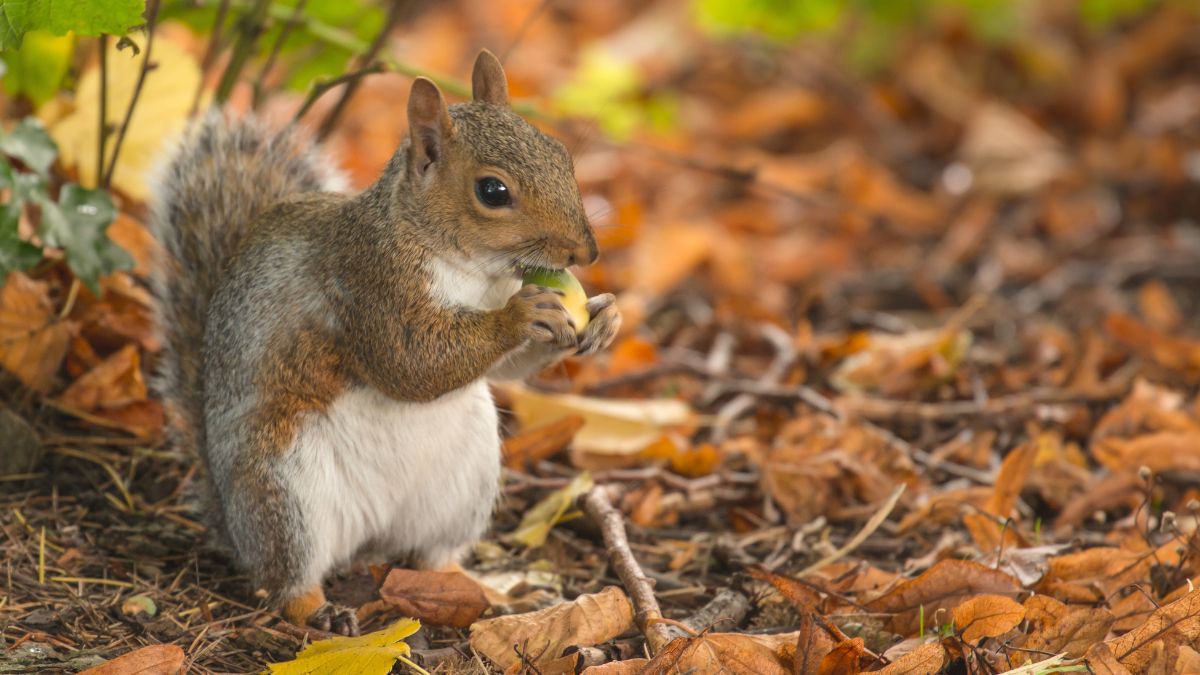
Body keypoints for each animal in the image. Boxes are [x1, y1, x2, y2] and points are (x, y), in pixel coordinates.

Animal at [145, 49, 624, 634]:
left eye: (561, 155)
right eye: (493, 191)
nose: (587, 253)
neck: (467, 267)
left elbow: (504, 371)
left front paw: (604, 316)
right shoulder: (367, 285)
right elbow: (410, 363)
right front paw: (520, 315)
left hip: (462, 487)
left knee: (435, 556)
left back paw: (487, 589)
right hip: (285, 490)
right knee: (287, 578)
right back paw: (319, 611)